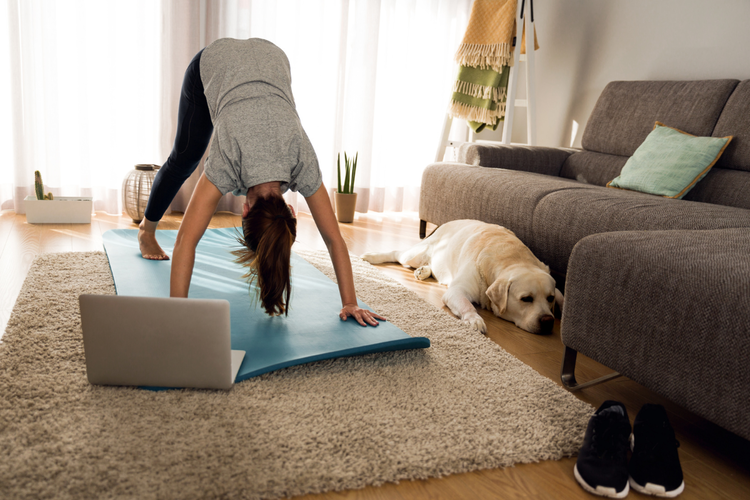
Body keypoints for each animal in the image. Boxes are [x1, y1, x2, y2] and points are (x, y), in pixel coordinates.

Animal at [362, 220, 564, 334]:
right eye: (526, 299)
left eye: (550, 298)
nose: (548, 321)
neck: (511, 257)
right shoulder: (457, 291)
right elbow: (467, 306)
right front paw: (475, 320)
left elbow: (563, 297)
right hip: (414, 254)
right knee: (397, 253)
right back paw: (372, 256)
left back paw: (423, 271)